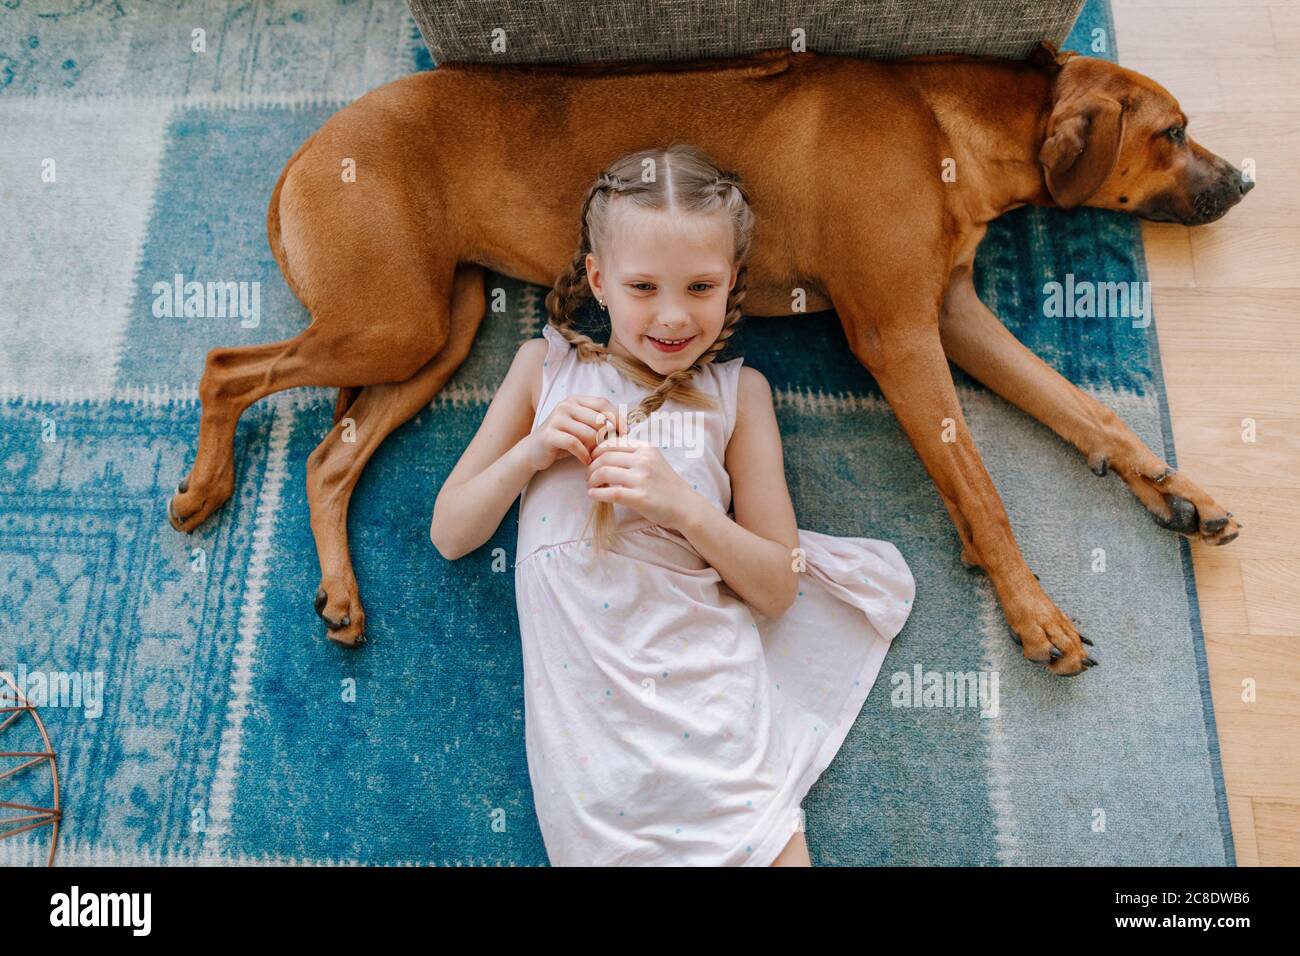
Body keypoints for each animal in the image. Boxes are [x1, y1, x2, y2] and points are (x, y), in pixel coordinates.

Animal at [167, 39, 1242, 671]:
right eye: (1174, 132)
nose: (1241, 182)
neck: (949, 127)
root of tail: (305, 148)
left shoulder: (952, 315)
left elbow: (1084, 408)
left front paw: (1176, 489)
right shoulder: (899, 334)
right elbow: (977, 483)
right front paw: (1034, 613)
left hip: (439, 325)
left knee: (328, 456)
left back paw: (341, 595)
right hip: (396, 321)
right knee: (224, 366)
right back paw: (205, 485)